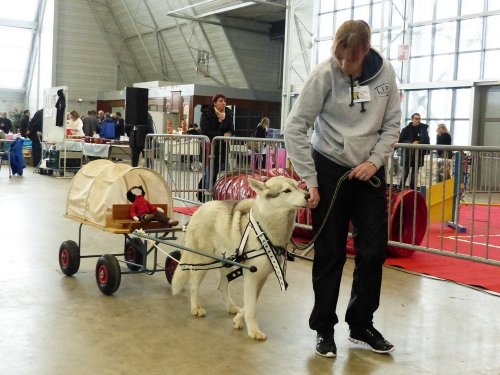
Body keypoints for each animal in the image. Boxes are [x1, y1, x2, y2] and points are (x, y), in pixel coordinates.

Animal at [172, 176, 308, 340]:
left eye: (298, 186)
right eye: (287, 190)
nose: (308, 195)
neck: (264, 230)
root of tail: (199, 209)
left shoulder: (260, 278)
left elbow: (250, 303)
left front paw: (238, 320)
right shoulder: (252, 277)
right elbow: (251, 308)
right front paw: (253, 331)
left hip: (227, 262)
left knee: (221, 287)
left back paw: (231, 307)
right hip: (203, 261)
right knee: (193, 286)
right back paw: (196, 307)